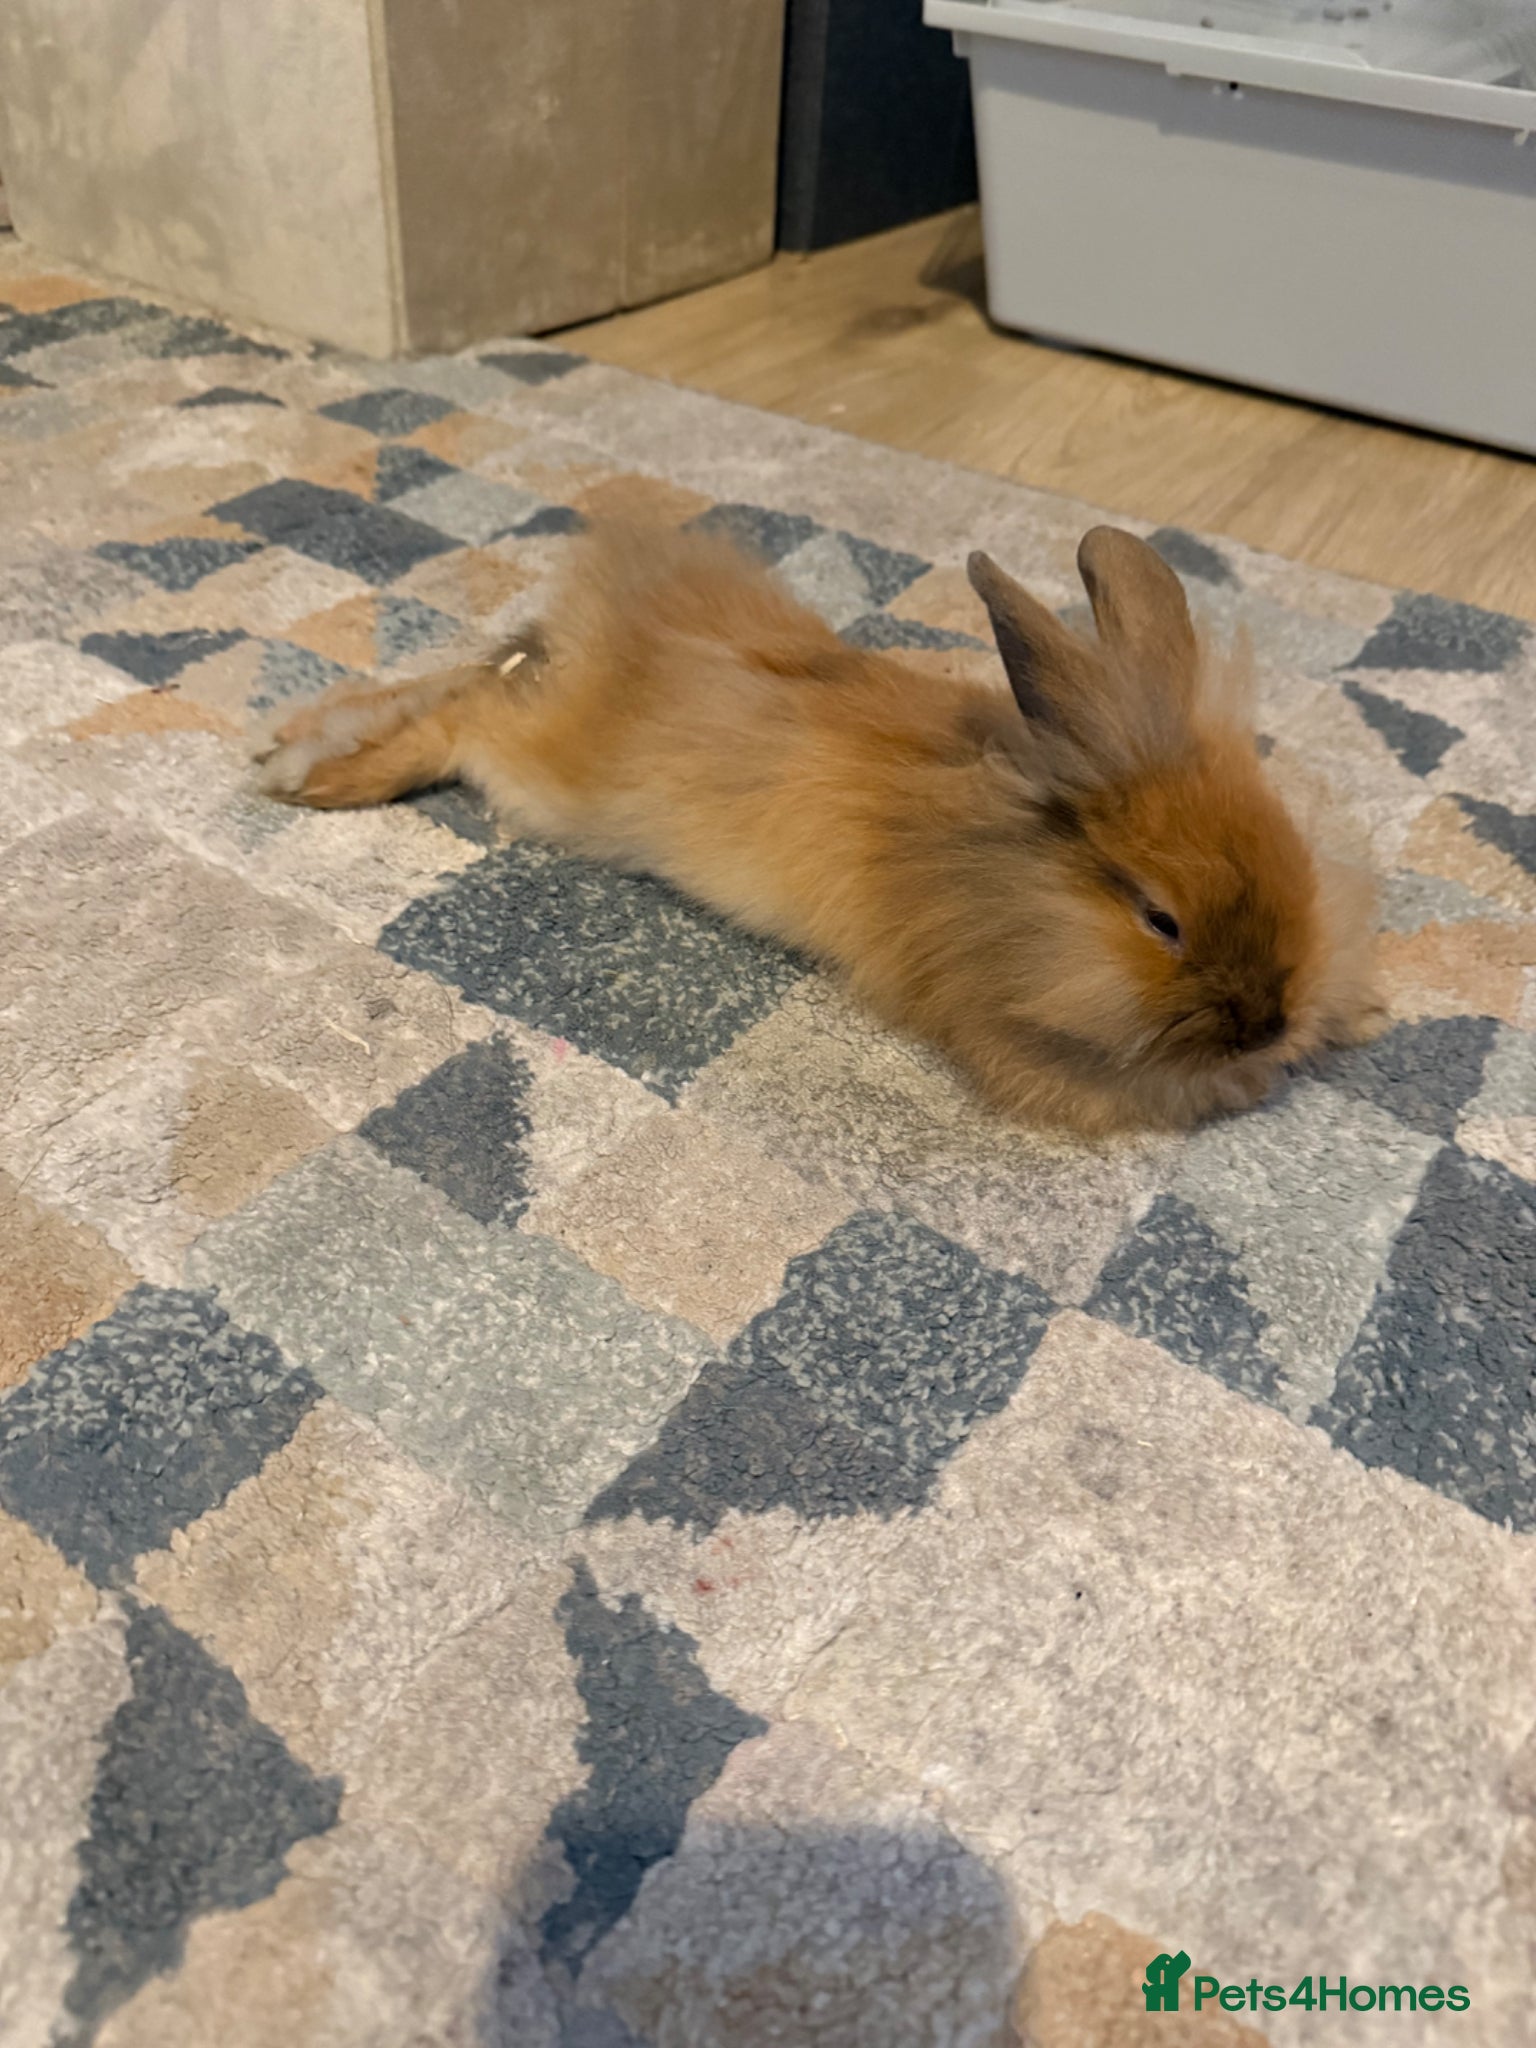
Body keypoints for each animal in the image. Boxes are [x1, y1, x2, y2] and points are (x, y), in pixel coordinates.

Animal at [258, 519, 1384, 1135]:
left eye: (1294, 862)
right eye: (1161, 920)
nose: (1268, 1019)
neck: (1008, 865)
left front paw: (1356, 1018)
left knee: (469, 681)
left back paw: (297, 747)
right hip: (551, 782)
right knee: (464, 716)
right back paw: (321, 779)